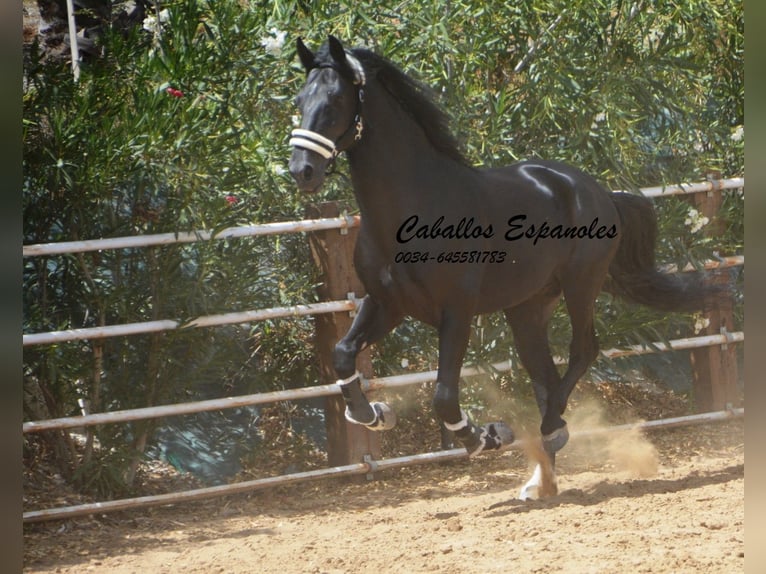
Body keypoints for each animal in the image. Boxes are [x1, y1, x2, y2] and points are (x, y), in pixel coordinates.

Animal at [292, 38, 724, 502]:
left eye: (335, 101)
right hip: (527, 307)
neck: (415, 207)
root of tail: (598, 191)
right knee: (544, 375)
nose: (302, 170)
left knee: (582, 351)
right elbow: (342, 355)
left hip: (581, 284)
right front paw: (375, 413)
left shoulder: (457, 312)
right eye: (299, 101)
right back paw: (540, 479)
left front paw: (489, 435)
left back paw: (551, 432)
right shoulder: (386, 302)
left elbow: (444, 396)